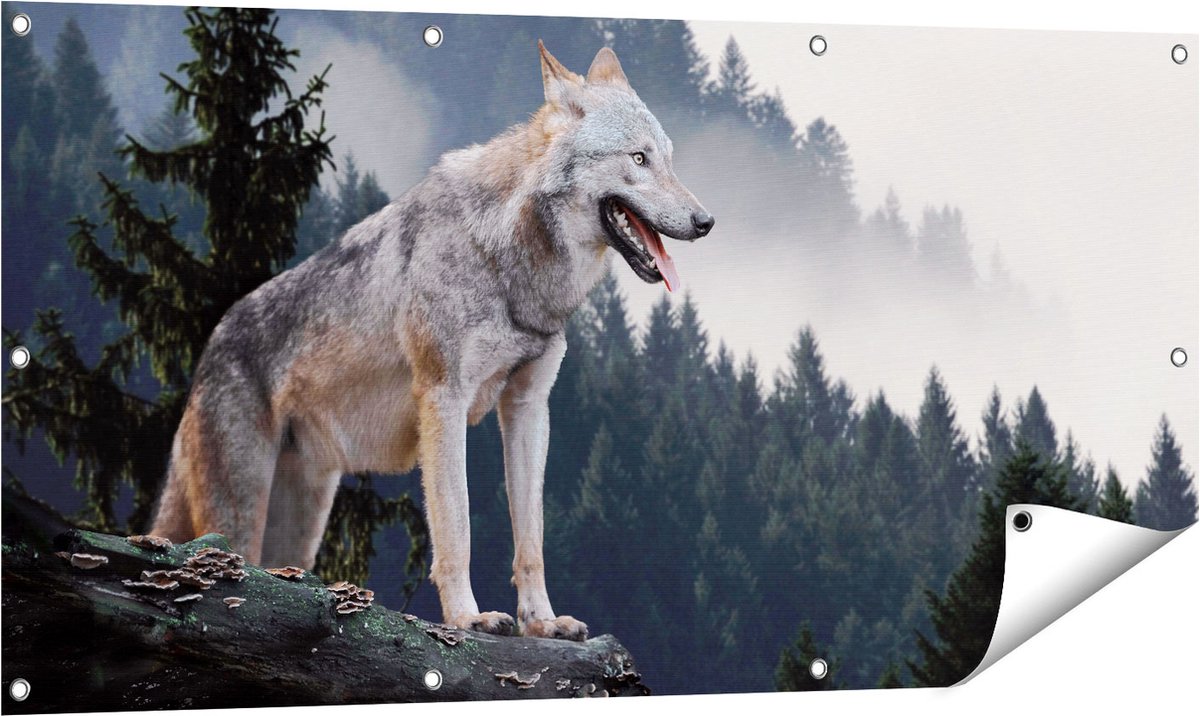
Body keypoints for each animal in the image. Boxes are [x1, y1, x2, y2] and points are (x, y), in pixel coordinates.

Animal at [152, 42, 713, 640]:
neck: (508, 261)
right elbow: (457, 526)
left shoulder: (528, 407)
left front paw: (542, 622)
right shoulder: (444, 399)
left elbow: (531, 539)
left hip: (300, 525)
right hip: (240, 512)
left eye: (669, 159)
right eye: (638, 159)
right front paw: (468, 617)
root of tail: (210, 347)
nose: (707, 221)